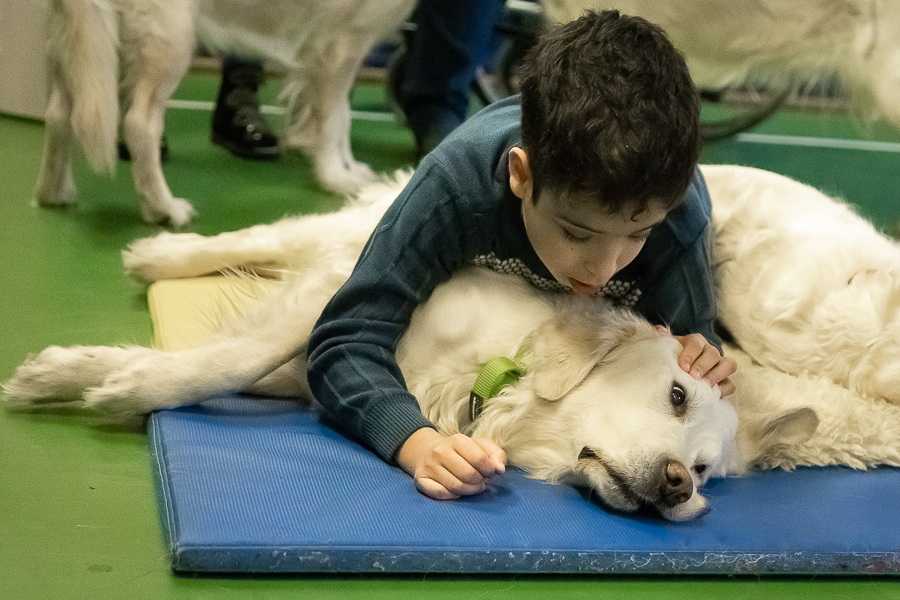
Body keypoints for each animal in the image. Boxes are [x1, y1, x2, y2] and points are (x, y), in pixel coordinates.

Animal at [5, 166, 900, 516]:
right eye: (676, 393)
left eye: (709, 470)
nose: (680, 487)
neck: (490, 377)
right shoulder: (345, 298)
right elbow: (225, 358)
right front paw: (115, 385)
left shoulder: (307, 361)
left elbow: (220, 362)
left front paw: (90, 369)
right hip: (367, 229)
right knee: (266, 237)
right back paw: (160, 253)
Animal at [34, 0, 414, 225]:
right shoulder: (339, 46)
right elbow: (333, 122)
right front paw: (336, 178)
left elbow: (343, 118)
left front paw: (351, 168)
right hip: (169, 40)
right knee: (140, 125)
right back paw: (165, 209)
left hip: (78, 45)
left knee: (59, 116)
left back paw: (54, 194)